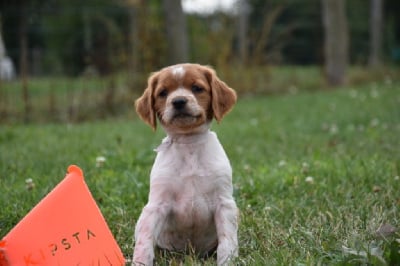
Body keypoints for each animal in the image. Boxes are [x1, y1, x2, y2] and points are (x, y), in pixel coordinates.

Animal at [133, 63, 239, 264]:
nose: (179, 101)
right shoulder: (156, 205)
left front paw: (227, 261)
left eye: (197, 88)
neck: (189, 144)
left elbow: (227, 243)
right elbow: (144, 242)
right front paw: (140, 262)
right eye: (163, 92)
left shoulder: (224, 203)